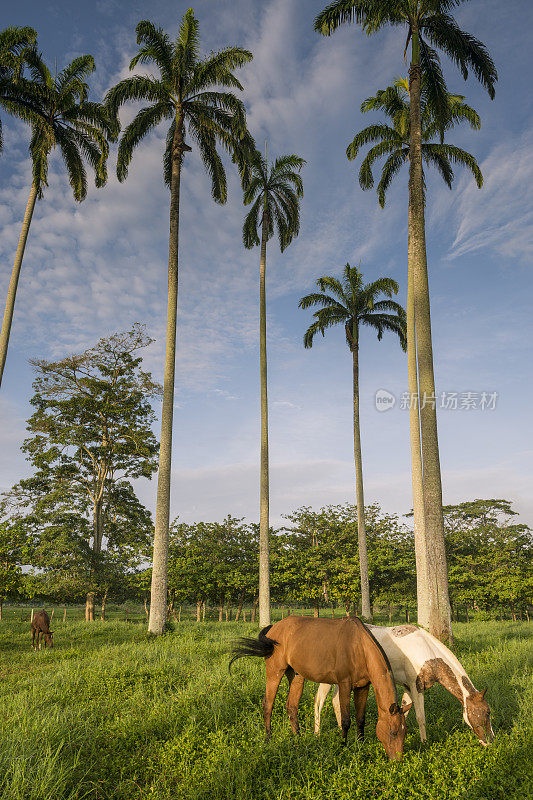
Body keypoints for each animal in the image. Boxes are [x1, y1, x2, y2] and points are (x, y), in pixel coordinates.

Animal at [231, 616, 410, 760]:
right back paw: (268, 738)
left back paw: (299, 738)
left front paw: (360, 744)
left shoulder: (363, 687)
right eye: (393, 732)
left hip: (296, 676)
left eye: (404, 731)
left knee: (292, 707)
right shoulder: (345, 685)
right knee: (268, 704)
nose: (397, 761)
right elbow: (346, 720)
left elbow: (360, 719)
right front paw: (343, 745)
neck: (359, 647)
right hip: (275, 672)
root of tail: (274, 627)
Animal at [314, 624, 492, 744]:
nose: (490, 740)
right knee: (319, 701)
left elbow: (404, 714)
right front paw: (424, 743)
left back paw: (340, 730)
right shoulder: (416, 686)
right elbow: (421, 717)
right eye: (486, 713)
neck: (427, 651)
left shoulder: (408, 687)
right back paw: (317, 734)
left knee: (335, 701)